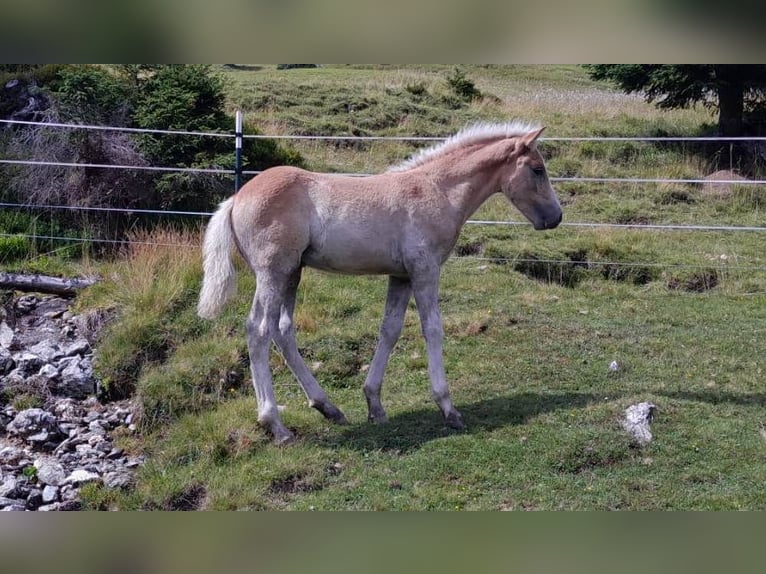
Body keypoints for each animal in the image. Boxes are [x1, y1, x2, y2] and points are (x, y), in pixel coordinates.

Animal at [198, 122, 560, 446]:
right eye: (537, 169)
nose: (555, 217)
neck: (437, 190)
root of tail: (236, 198)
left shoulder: (401, 275)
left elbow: (390, 329)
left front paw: (374, 404)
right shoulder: (425, 270)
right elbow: (432, 329)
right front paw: (448, 408)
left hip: (292, 273)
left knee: (282, 330)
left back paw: (328, 407)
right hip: (273, 272)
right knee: (258, 330)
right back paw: (276, 425)